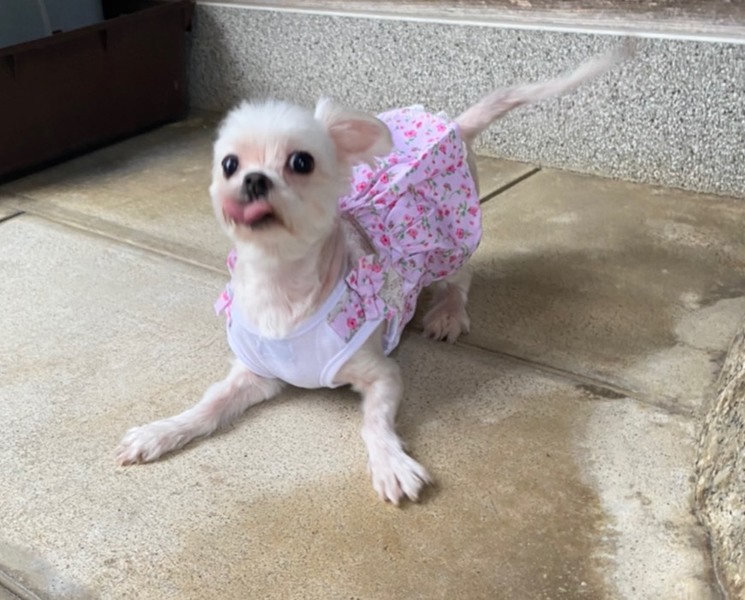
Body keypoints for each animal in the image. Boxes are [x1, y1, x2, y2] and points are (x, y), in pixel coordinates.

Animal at [117, 44, 631, 505]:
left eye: (301, 161)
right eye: (230, 163)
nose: (254, 179)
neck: (281, 288)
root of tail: (452, 124)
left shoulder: (381, 374)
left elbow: (374, 422)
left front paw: (390, 463)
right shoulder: (253, 375)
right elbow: (208, 406)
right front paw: (162, 431)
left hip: (451, 243)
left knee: (460, 281)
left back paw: (447, 313)